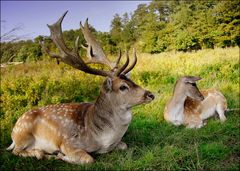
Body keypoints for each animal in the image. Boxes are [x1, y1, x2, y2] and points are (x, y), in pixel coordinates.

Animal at [7, 11, 156, 164]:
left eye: (132, 80)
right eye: (122, 87)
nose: (150, 94)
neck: (104, 139)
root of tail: (14, 132)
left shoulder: (117, 144)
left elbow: (125, 145)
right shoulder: (68, 142)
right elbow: (88, 158)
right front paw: (61, 155)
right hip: (23, 133)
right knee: (16, 151)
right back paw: (41, 153)